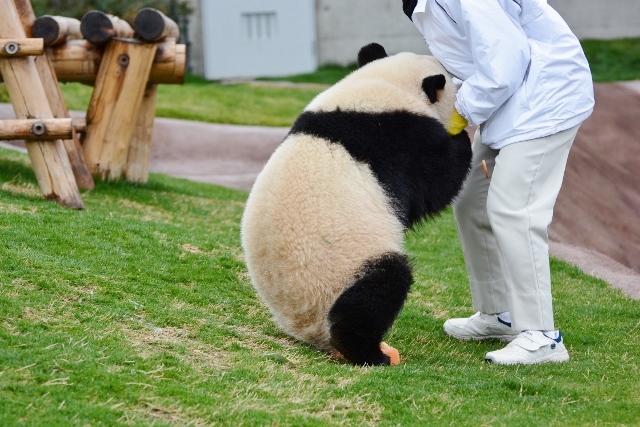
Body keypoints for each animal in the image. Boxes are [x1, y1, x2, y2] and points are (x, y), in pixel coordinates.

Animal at [242, 43, 472, 366]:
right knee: (378, 290)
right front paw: (463, 138)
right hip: (343, 271)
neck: (383, 87)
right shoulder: (400, 140)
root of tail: (309, 329)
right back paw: (371, 353)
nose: (461, 113)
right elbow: (438, 180)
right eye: (453, 83)